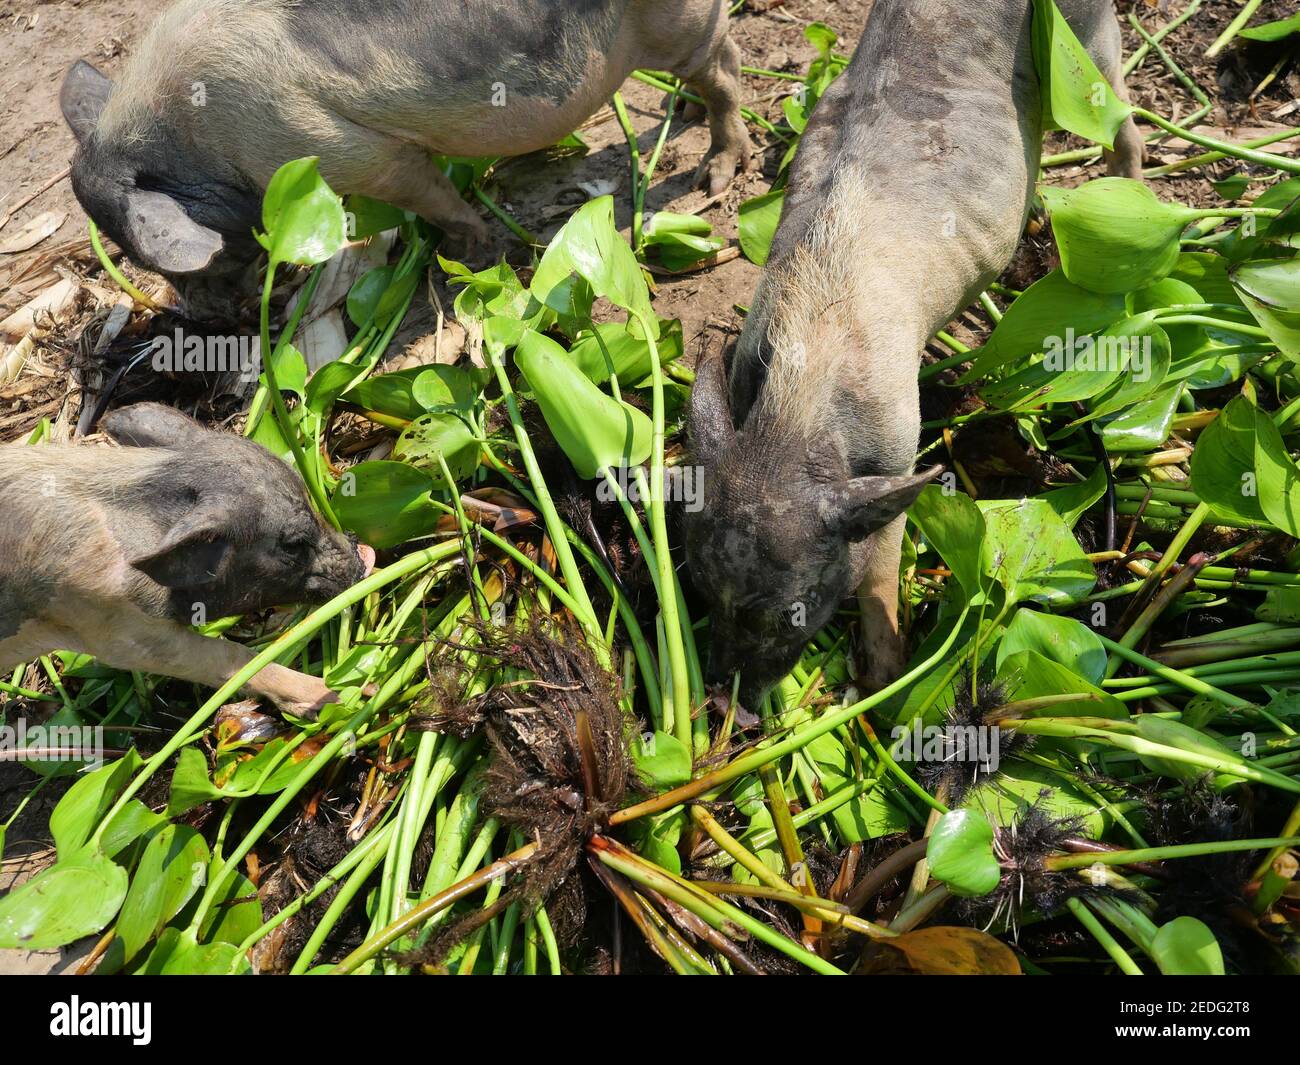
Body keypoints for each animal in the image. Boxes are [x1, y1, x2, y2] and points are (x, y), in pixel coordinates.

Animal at [59, 0, 752, 316]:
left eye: (152, 259)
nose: (207, 319)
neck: (200, 146)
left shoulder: (344, 150)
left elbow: (428, 193)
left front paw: (467, 255)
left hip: (681, 23)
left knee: (726, 63)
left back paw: (717, 176)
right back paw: (687, 116)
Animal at [685, 0, 1144, 707]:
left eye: (791, 612)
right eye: (703, 591)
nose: (727, 695)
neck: (795, 417)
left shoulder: (900, 438)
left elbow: (881, 566)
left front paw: (885, 681)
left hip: (1088, 46)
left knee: (1119, 117)